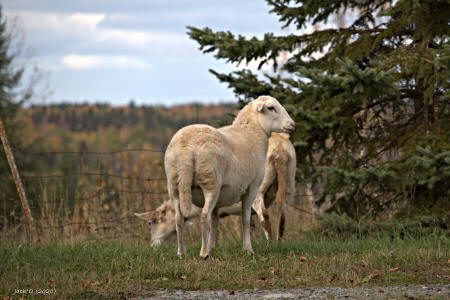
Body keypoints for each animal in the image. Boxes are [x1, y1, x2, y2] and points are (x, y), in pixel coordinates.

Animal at [165, 96, 296, 258]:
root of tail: (186, 148)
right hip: (210, 182)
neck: (251, 134)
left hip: (174, 185)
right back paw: (203, 254)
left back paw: (181, 252)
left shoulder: (220, 200)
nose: (292, 124)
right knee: (204, 216)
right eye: (271, 108)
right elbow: (245, 219)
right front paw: (248, 249)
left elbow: (215, 221)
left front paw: (213, 246)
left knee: (179, 219)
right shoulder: (252, 188)